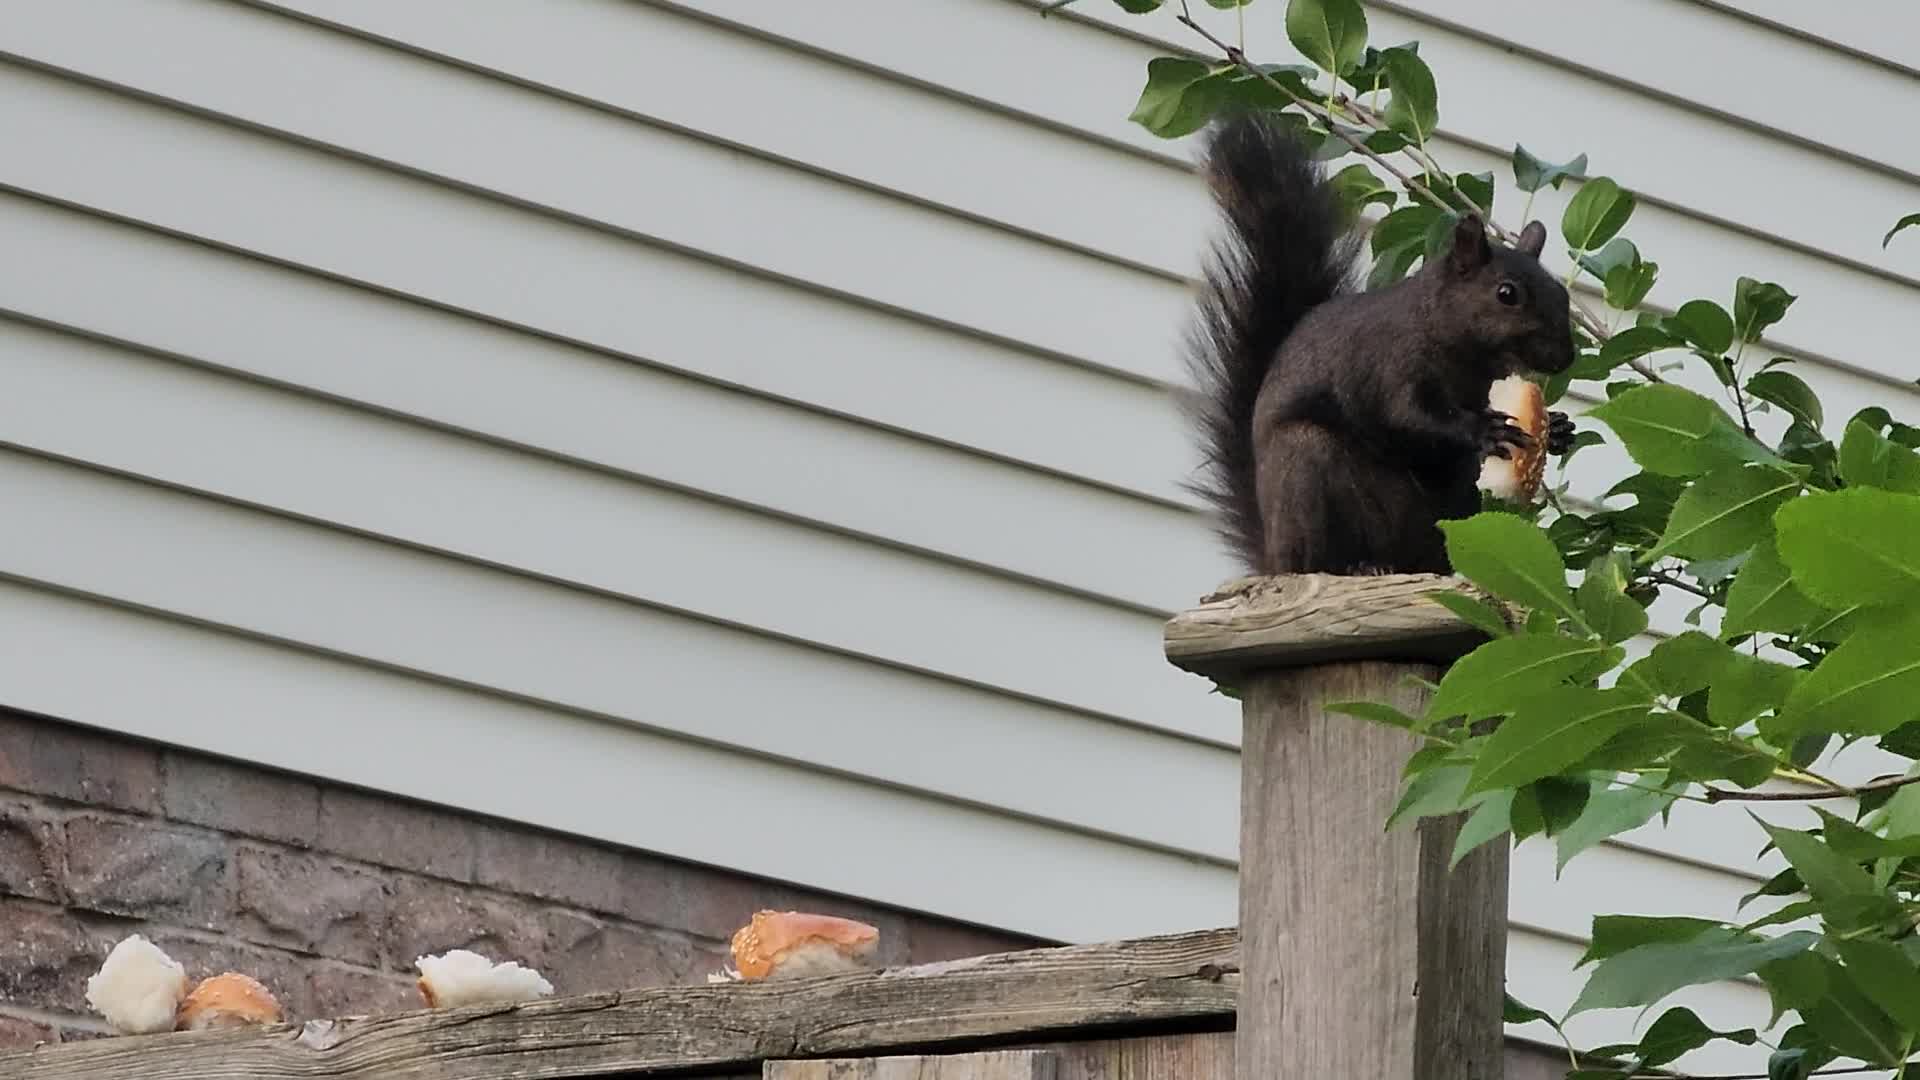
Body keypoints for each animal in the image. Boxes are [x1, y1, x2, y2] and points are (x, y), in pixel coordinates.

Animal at [1183, 110, 1578, 577]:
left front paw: (1557, 427)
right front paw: (1482, 427)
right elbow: (1405, 414)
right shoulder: (1387, 362)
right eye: (1506, 293)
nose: (1565, 357)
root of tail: (1272, 560)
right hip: (1304, 468)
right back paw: (1355, 567)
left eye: (1563, 292)